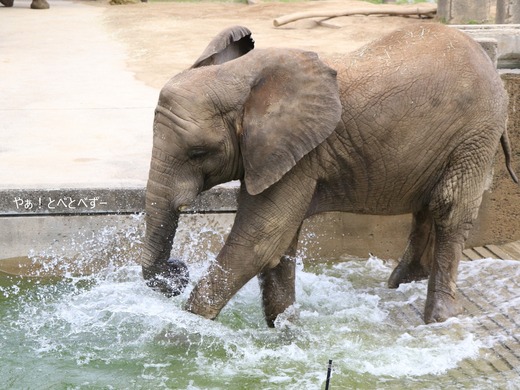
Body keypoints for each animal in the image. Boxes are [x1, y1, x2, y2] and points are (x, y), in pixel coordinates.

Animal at [141, 23, 516, 326]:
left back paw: (440, 317)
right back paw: (401, 284)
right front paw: (286, 330)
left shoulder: (300, 154)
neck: (241, 77)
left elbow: (260, 238)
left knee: (449, 209)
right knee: (427, 206)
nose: (177, 269)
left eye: (198, 153)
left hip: (476, 134)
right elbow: (280, 242)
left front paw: (186, 329)